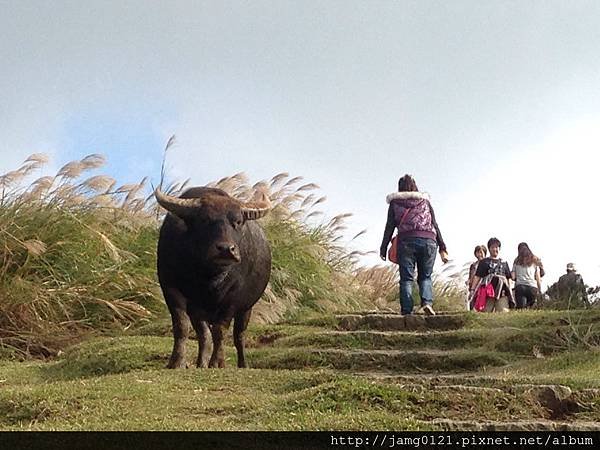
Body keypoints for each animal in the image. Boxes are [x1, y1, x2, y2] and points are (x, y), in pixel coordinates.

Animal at [155, 185, 272, 368]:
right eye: (204, 220)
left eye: (238, 222)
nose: (226, 249)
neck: (209, 276)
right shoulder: (170, 288)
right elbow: (182, 326)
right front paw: (176, 362)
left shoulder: (233, 297)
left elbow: (220, 330)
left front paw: (218, 362)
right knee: (204, 334)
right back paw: (201, 363)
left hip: (247, 308)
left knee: (239, 335)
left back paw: (242, 364)